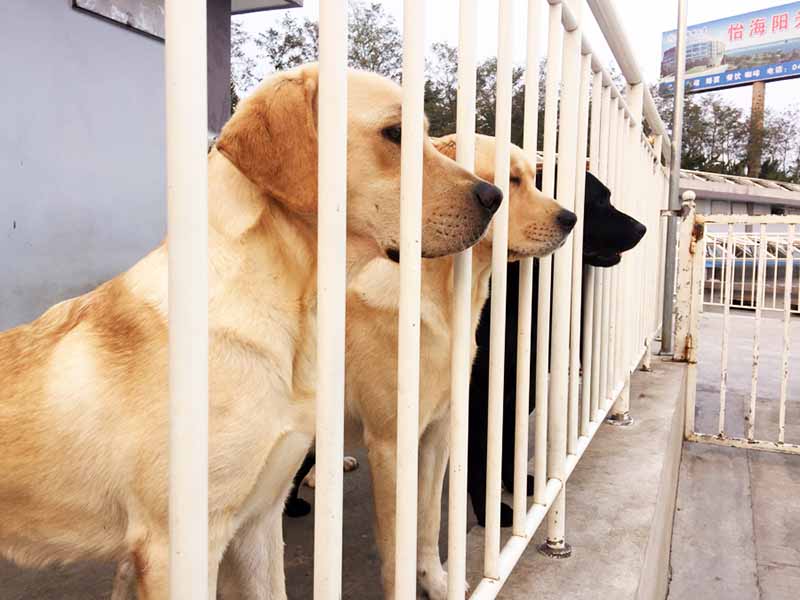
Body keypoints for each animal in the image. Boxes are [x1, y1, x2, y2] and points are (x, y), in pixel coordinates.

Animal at [344, 134, 576, 596]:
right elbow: (395, 547)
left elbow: (428, 521)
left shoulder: (438, 433)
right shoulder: (390, 444)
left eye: (532, 177)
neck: (439, 294)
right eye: (511, 180)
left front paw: (435, 581)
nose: (571, 218)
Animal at [468, 169, 644, 524]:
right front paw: (489, 510)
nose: (643, 228)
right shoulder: (481, 391)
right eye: (599, 200)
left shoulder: (523, 384)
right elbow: (481, 458)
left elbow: (509, 443)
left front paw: (518, 487)